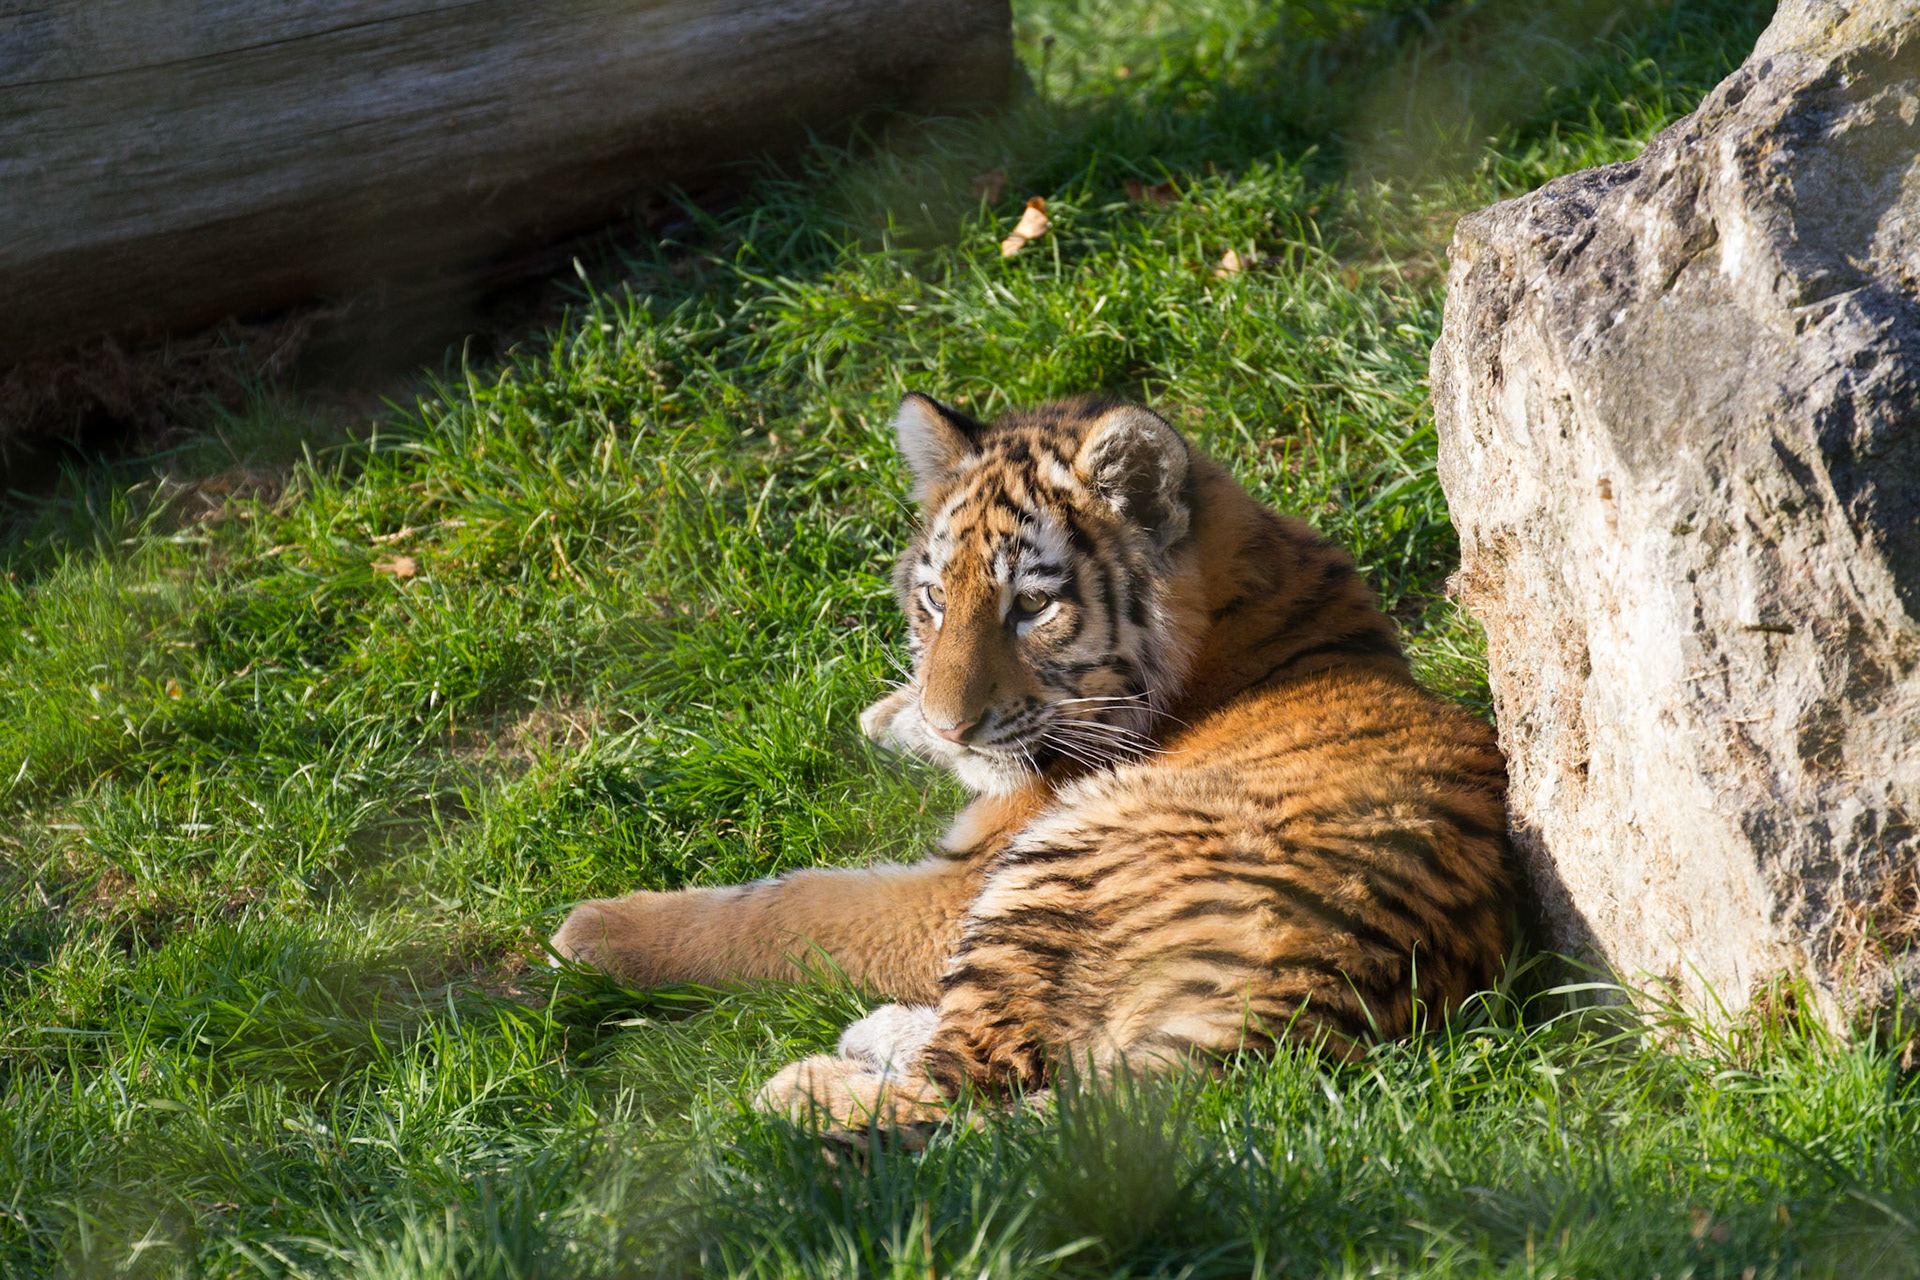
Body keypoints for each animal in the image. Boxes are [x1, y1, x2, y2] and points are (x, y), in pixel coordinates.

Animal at [550, 392, 1514, 1131]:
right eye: (936, 599)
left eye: (1033, 606)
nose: (951, 729)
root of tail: (1284, 1022)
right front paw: (893, 712)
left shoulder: (955, 887)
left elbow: (793, 908)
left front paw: (595, 930)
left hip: (1053, 868)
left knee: (963, 1098)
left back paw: (802, 1083)